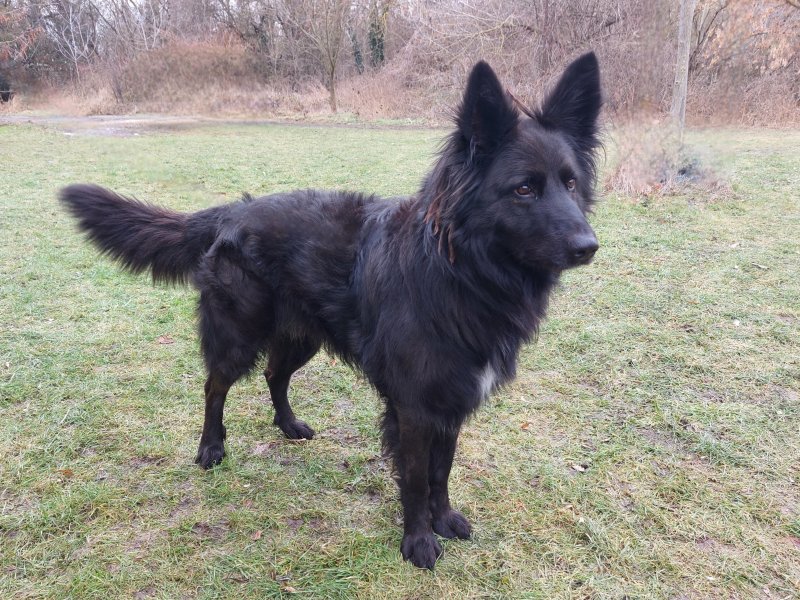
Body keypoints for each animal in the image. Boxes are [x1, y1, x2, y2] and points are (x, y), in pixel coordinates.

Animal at [61, 52, 602, 569]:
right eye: (524, 189)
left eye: (572, 184)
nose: (589, 247)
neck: (459, 271)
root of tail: (233, 210)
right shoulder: (414, 407)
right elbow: (416, 478)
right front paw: (418, 541)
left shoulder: (452, 400)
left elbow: (442, 470)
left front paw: (443, 519)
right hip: (239, 336)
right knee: (215, 386)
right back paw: (211, 447)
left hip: (302, 337)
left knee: (274, 375)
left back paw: (288, 425)